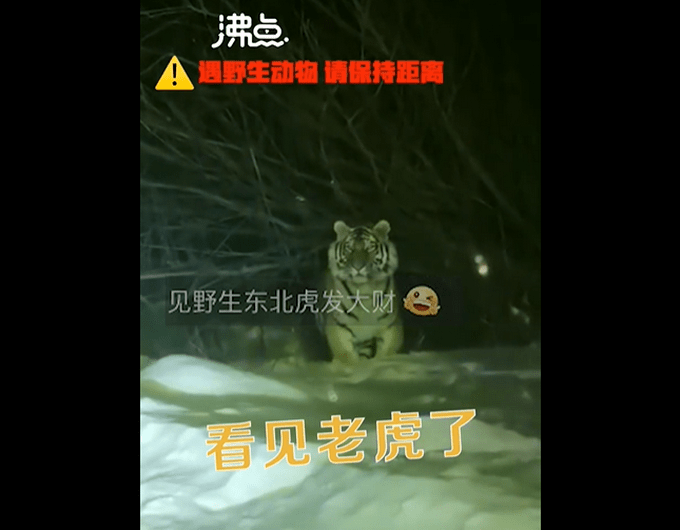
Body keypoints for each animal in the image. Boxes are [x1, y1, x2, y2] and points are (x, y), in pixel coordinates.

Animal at [319, 219, 404, 364]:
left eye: (370, 247)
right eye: (349, 247)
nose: (357, 267)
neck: (365, 290)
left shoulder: (390, 326)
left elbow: (386, 353)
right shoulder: (339, 326)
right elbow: (346, 356)